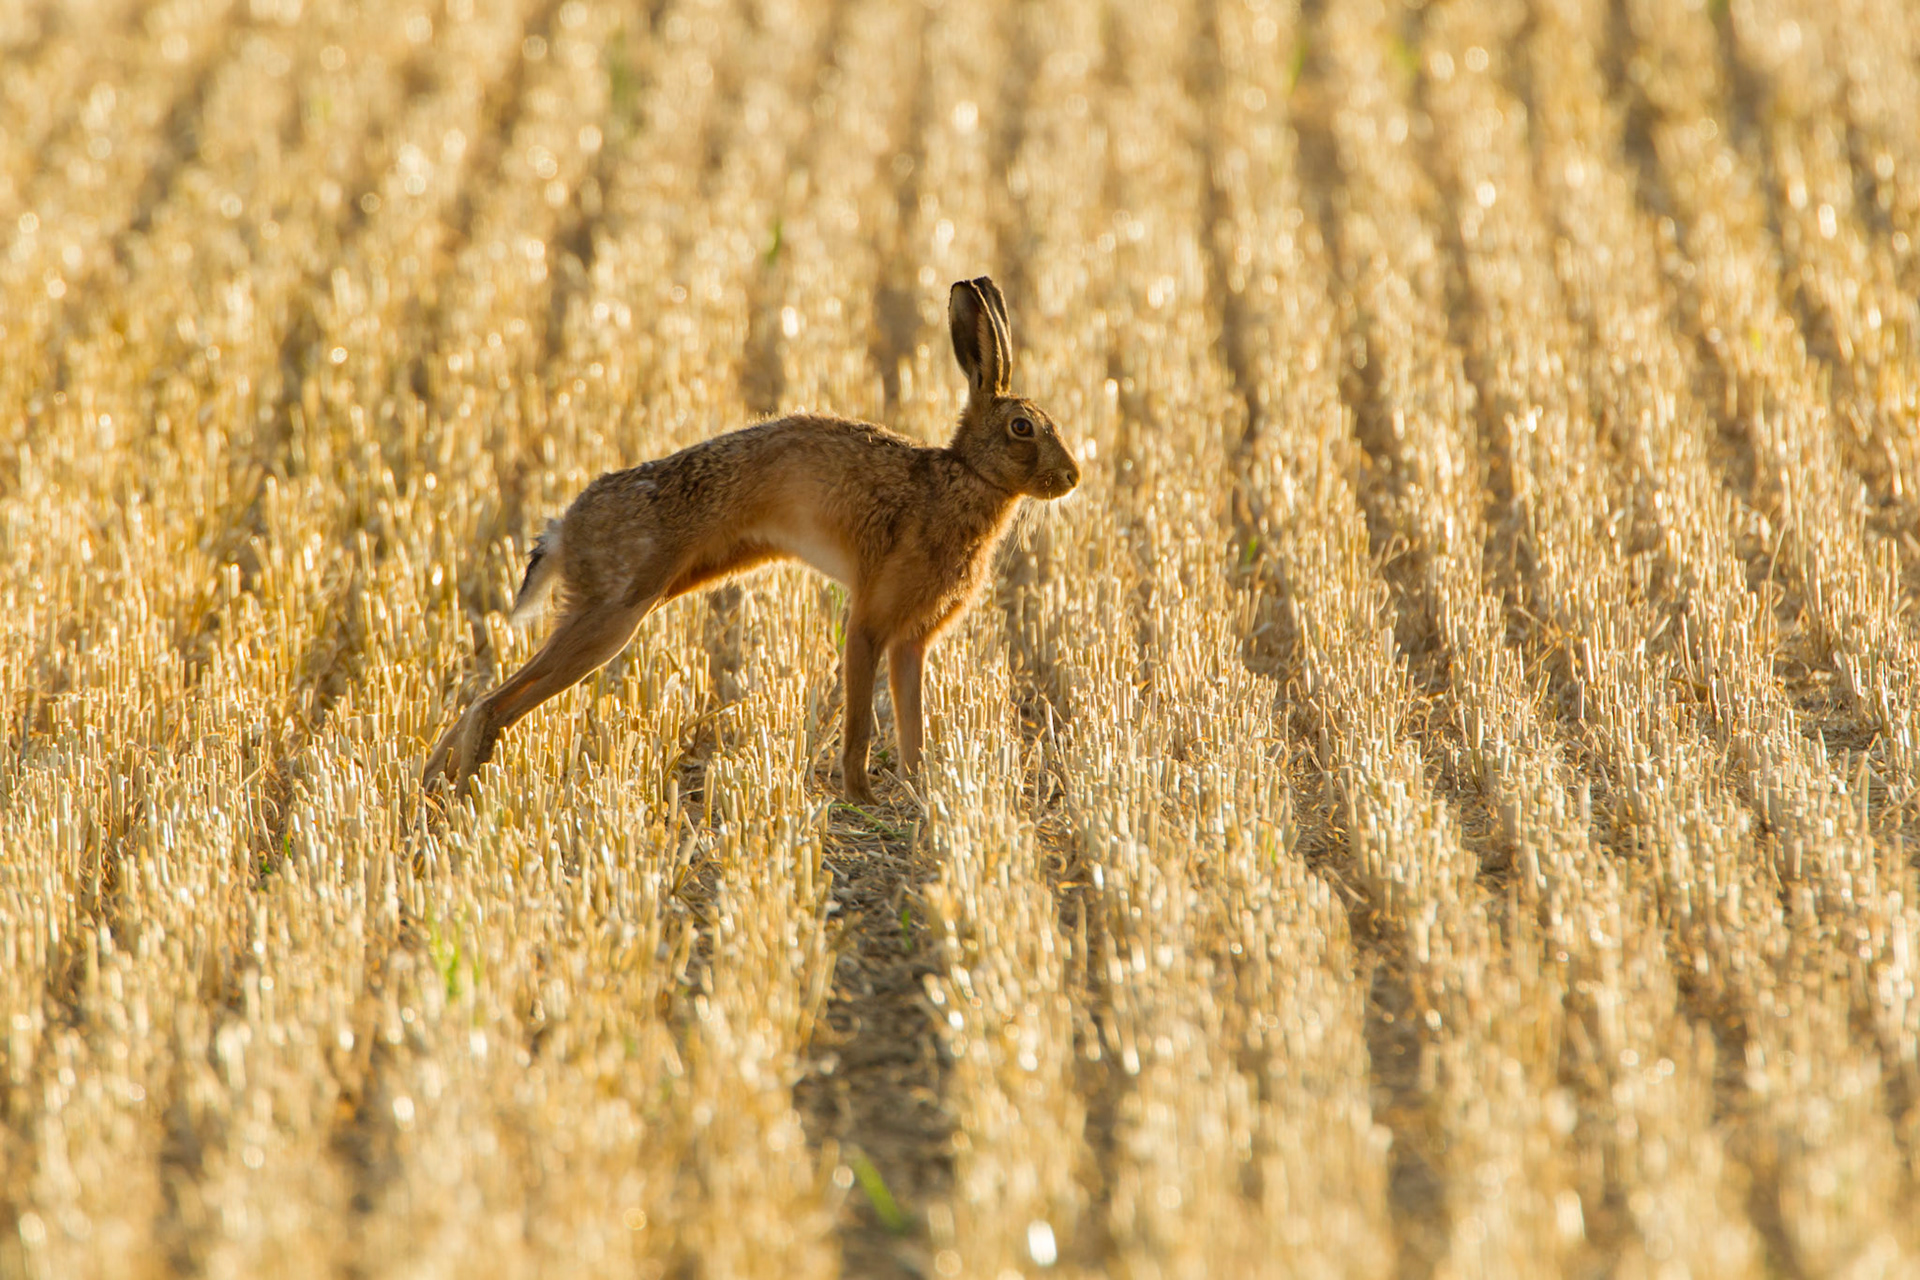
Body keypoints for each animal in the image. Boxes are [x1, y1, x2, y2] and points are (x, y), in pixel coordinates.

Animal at [423, 275, 1080, 803]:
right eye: (1023, 428)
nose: (1073, 477)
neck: (965, 477)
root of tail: (563, 531)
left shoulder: (911, 642)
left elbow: (912, 722)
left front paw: (922, 793)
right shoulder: (870, 623)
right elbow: (862, 720)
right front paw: (862, 798)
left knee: (488, 700)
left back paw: (432, 785)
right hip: (612, 614)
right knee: (496, 701)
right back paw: (462, 783)